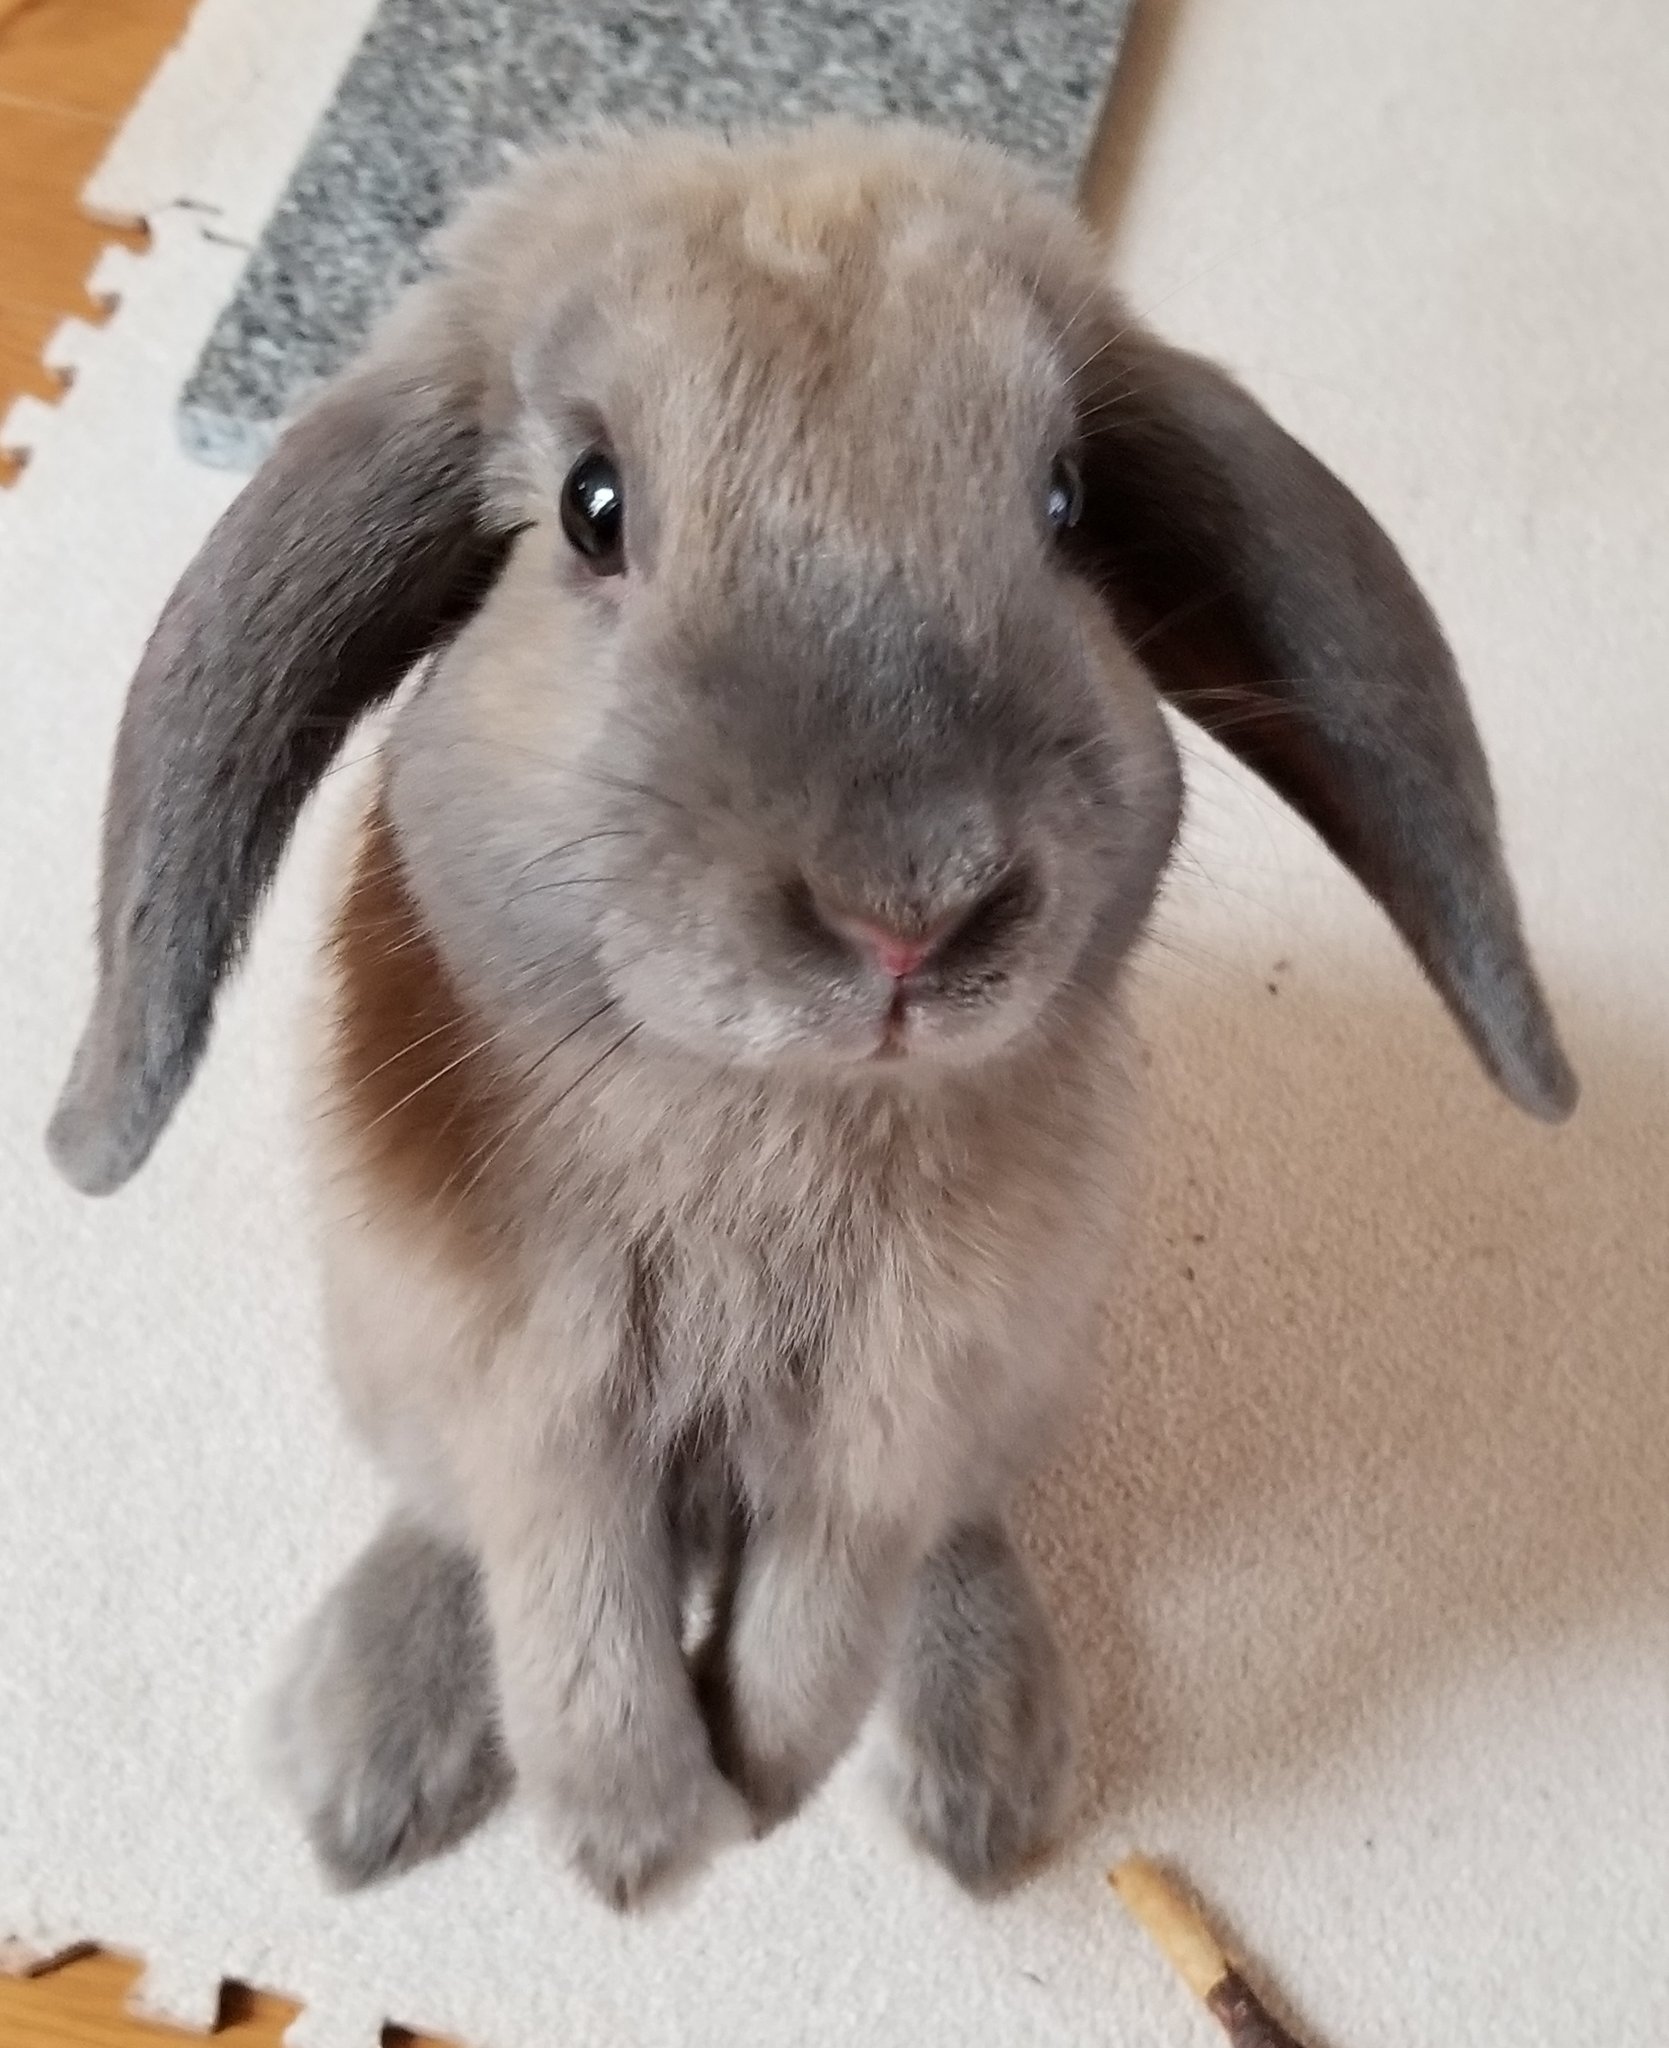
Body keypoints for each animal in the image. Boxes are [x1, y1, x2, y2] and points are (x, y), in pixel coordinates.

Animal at [46, 121, 1575, 1909]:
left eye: (1064, 501)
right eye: (591, 507)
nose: (910, 908)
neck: (757, 1107)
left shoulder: (911, 1388)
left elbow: (838, 1576)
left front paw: (761, 1780)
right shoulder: (529, 1393)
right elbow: (569, 1595)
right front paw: (634, 1840)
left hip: (1031, 1372)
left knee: (954, 1538)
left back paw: (981, 1788)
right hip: (384, 1353)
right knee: (443, 1527)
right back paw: (367, 1772)